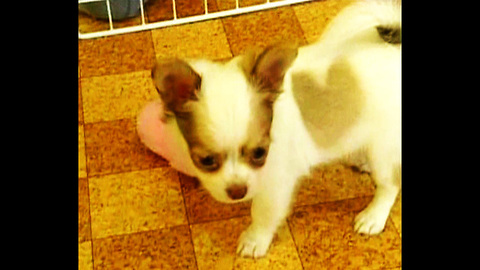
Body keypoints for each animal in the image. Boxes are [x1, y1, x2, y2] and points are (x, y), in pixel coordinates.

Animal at [150, 0, 402, 258]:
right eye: (207, 160)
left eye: (260, 153)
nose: (238, 191)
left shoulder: (276, 183)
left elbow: (262, 213)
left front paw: (255, 240)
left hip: (384, 148)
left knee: (390, 183)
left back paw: (373, 217)